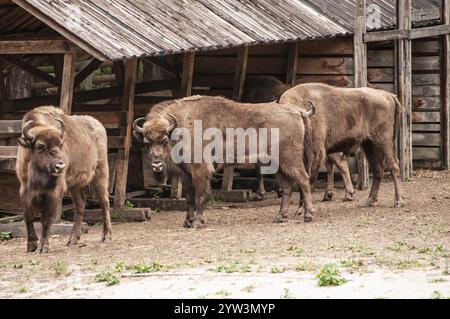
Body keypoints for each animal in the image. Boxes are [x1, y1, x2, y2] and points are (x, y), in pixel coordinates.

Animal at [16, 106, 111, 254]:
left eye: (60, 145)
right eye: (39, 146)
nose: (60, 166)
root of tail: (98, 125)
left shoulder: (54, 193)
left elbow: (45, 219)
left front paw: (42, 247)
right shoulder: (24, 189)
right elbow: (27, 216)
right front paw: (31, 245)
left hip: (100, 173)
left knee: (104, 202)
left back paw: (105, 237)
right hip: (75, 185)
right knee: (80, 205)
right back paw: (72, 240)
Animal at [134, 95, 316, 228]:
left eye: (164, 140)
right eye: (146, 143)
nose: (156, 164)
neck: (181, 126)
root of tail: (296, 111)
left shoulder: (200, 170)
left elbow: (201, 195)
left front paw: (197, 222)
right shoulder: (187, 173)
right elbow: (189, 198)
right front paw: (187, 222)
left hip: (290, 160)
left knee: (303, 180)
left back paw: (308, 215)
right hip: (277, 164)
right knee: (287, 187)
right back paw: (279, 217)